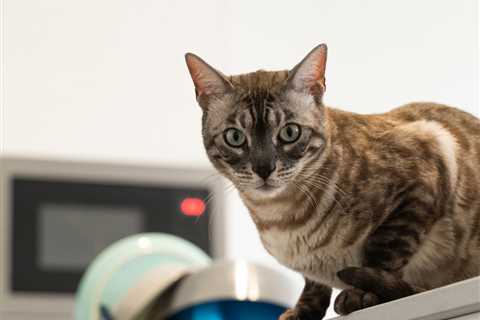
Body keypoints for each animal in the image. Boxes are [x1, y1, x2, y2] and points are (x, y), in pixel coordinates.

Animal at [185, 45, 480, 320]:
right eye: (235, 137)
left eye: (290, 132)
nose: (264, 168)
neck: (280, 218)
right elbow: (313, 286)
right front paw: (301, 312)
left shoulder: (427, 165)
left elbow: (381, 255)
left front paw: (360, 296)